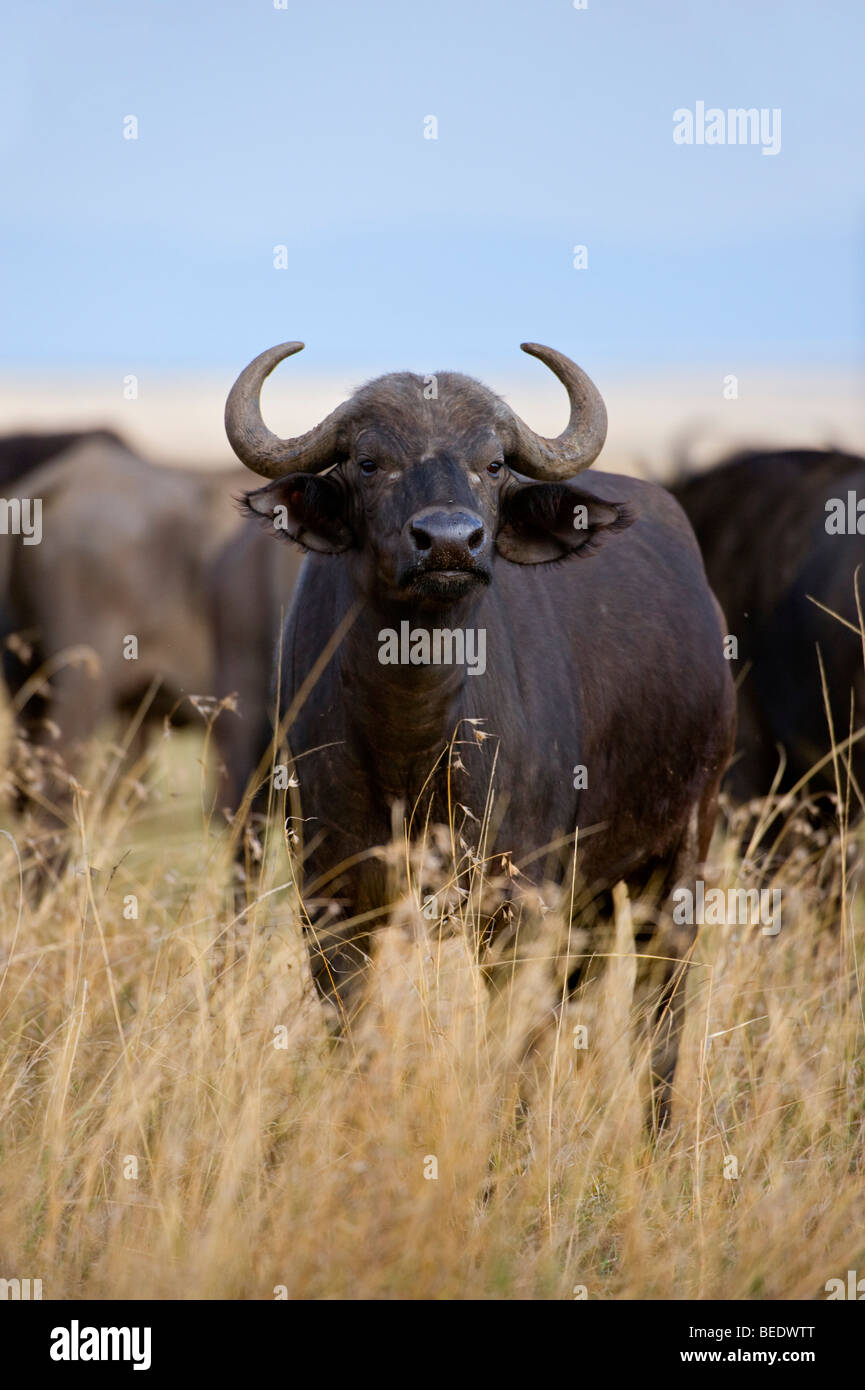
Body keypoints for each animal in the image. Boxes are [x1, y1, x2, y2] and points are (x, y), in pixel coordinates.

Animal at [223, 339, 739, 1117]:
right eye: (368, 461)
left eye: (492, 463)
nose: (447, 542)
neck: (411, 741)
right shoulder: (332, 901)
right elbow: (355, 1040)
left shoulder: (517, 906)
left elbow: (511, 1058)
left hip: (681, 853)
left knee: (661, 1007)